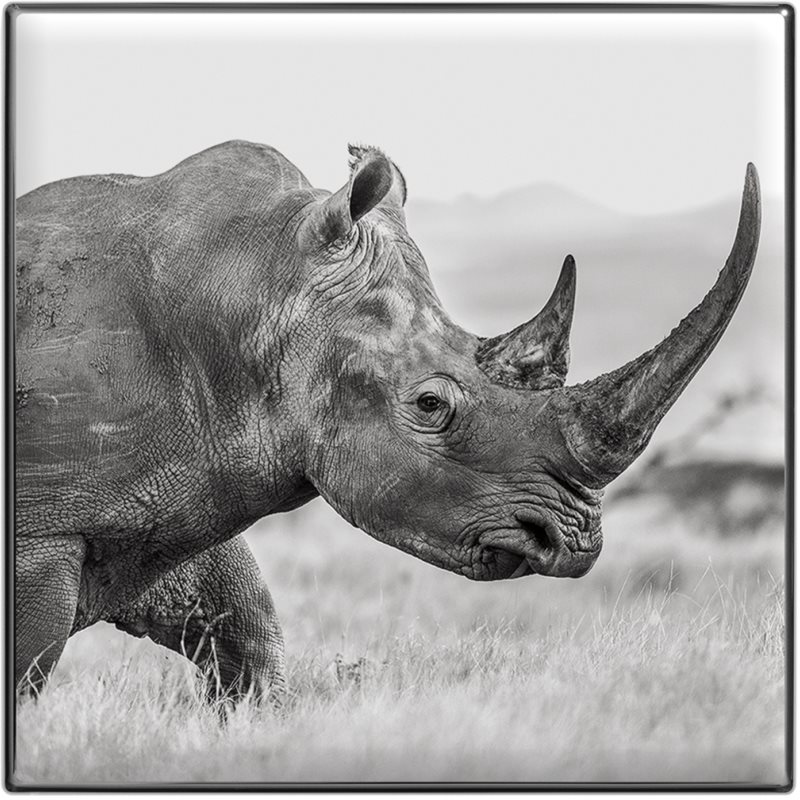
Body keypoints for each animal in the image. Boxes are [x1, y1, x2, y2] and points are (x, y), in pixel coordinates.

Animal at [15, 141, 760, 699]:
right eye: (431, 406)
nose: (574, 542)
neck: (257, 289)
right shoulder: (44, 529)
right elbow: (27, 671)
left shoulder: (177, 484)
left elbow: (248, 633)